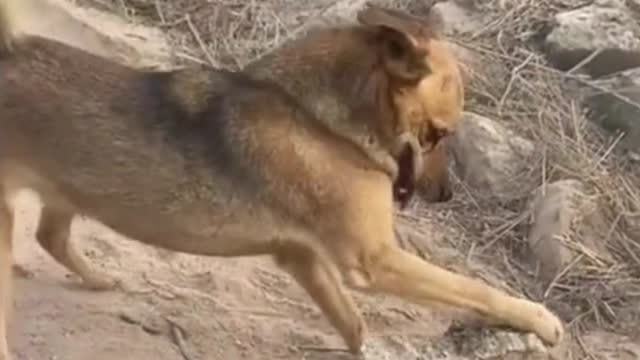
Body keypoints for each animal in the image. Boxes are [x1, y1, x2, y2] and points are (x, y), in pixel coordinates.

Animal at [0, 0, 564, 358]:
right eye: (439, 134)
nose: (444, 195)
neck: (320, 119)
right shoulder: (375, 260)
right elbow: (476, 288)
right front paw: (537, 317)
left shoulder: (301, 256)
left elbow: (352, 322)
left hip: (67, 188)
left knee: (50, 234)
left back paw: (97, 278)